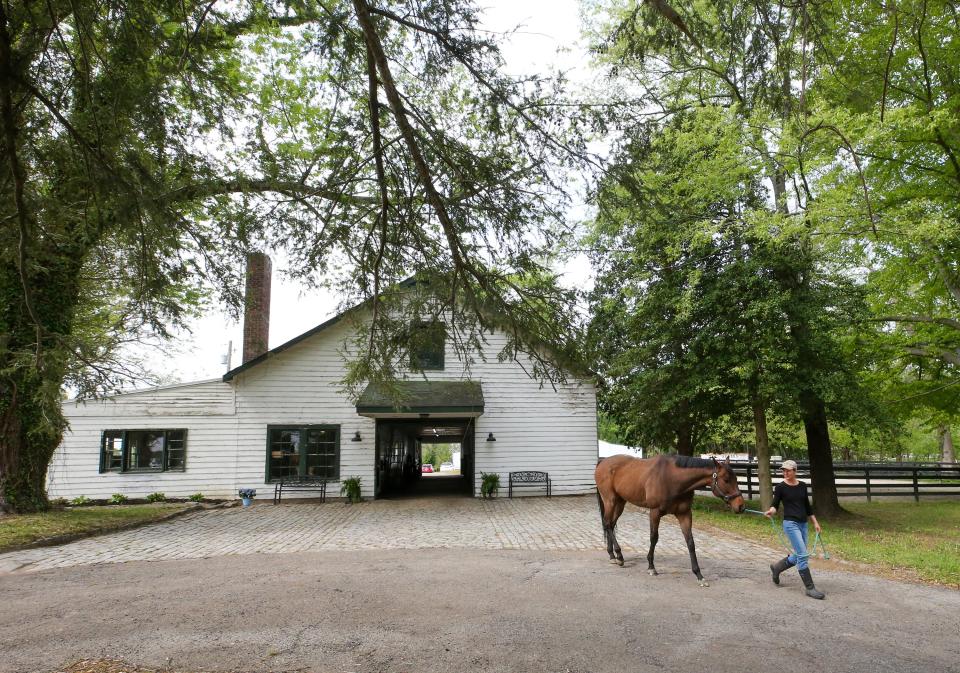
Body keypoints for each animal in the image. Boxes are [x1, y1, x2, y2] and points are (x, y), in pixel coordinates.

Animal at [596, 454, 748, 584]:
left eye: (736, 479)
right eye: (726, 480)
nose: (740, 506)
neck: (672, 478)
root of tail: (602, 462)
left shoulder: (684, 514)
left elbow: (690, 542)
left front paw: (699, 575)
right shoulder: (654, 512)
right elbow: (654, 538)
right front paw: (651, 567)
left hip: (620, 502)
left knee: (611, 525)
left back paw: (612, 555)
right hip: (610, 500)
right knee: (607, 523)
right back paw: (619, 556)